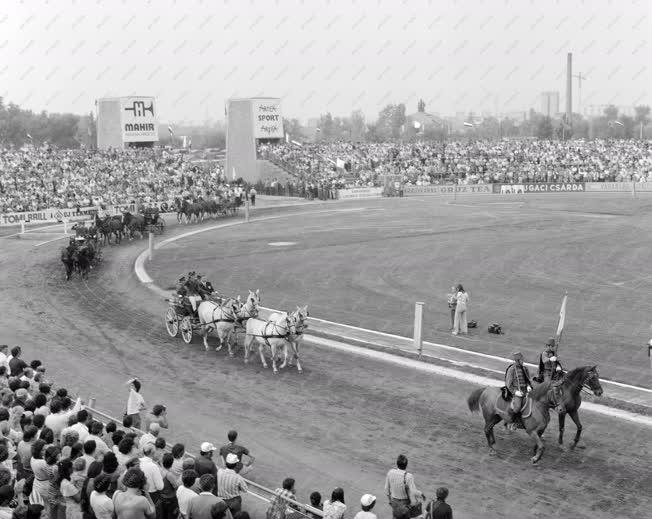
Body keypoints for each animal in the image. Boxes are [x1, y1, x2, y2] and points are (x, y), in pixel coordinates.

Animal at [468, 366, 600, 464]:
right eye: (556, 393)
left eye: (562, 393)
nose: (562, 409)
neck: (539, 407)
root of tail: (486, 389)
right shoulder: (531, 431)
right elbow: (542, 445)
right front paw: (536, 458)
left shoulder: (541, 430)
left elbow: (539, 445)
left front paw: (534, 453)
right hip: (490, 417)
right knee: (486, 429)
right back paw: (492, 449)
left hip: (496, 418)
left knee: (490, 429)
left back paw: (494, 441)